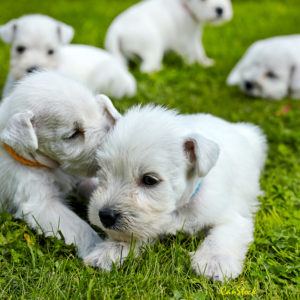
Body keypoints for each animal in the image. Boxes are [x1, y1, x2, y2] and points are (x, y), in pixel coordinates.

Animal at [0, 70, 121, 258]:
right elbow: (80, 228)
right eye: (73, 134)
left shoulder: (79, 178)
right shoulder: (41, 203)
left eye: (98, 113)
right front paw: (97, 249)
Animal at [85, 105, 268, 282]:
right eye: (102, 170)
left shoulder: (231, 216)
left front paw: (214, 261)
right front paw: (108, 251)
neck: (180, 208)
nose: (105, 216)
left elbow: (221, 235)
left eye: (149, 180)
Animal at [106, 0, 234, 72]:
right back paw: (159, 69)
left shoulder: (194, 36)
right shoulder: (185, 39)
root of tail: (115, 31)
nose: (220, 9)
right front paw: (194, 65)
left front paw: (205, 62)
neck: (184, 4)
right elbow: (192, 53)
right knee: (146, 68)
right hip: (153, 46)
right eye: (203, 0)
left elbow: (199, 50)